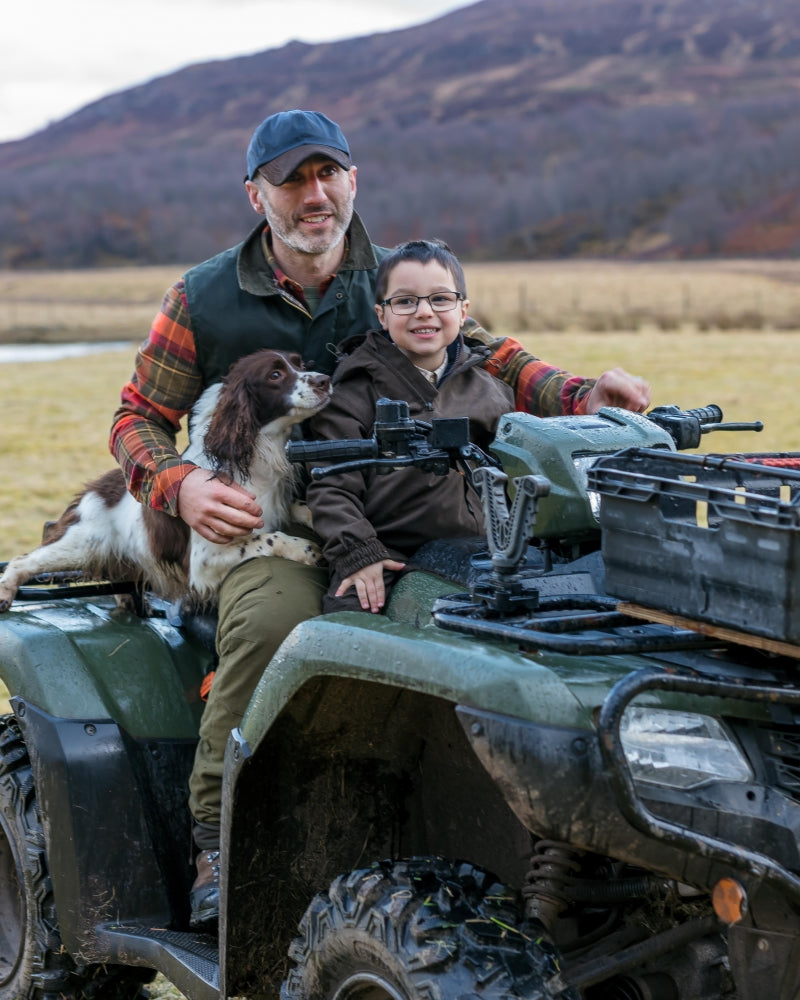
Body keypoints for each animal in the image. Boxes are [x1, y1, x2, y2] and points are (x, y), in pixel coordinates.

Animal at [0, 348, 332, 612]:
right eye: (275, 374)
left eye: (300, 364)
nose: (325, 380)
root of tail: (93, 488)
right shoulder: (203, 562)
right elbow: (268, 538)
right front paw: (305, 549)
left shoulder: (277, 504)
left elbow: (301, 508)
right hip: (81, 543)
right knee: (23, 559)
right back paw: (6, 593)